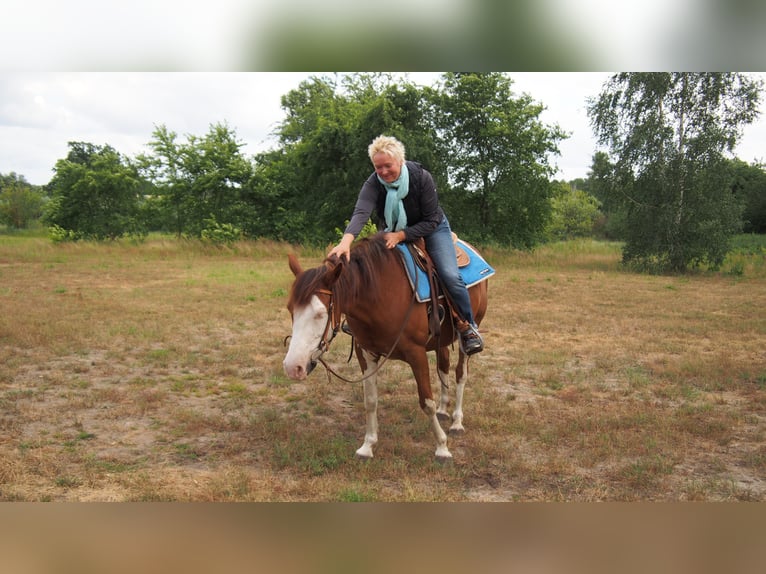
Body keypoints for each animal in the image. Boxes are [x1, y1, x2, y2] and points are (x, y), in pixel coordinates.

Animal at [282, 232, 488, 461]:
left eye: (320, 313)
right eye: (291, 309)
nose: (293, 367)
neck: (378, 293)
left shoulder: (416, 353)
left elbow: (426, 401)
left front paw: (442, 447)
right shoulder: (366, 353)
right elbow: (371, 400)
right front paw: (367, 445)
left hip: (467, 336)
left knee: (461, 373)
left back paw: (457, 422)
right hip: (440, 340)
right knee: (443, 365)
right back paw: (444, 410)